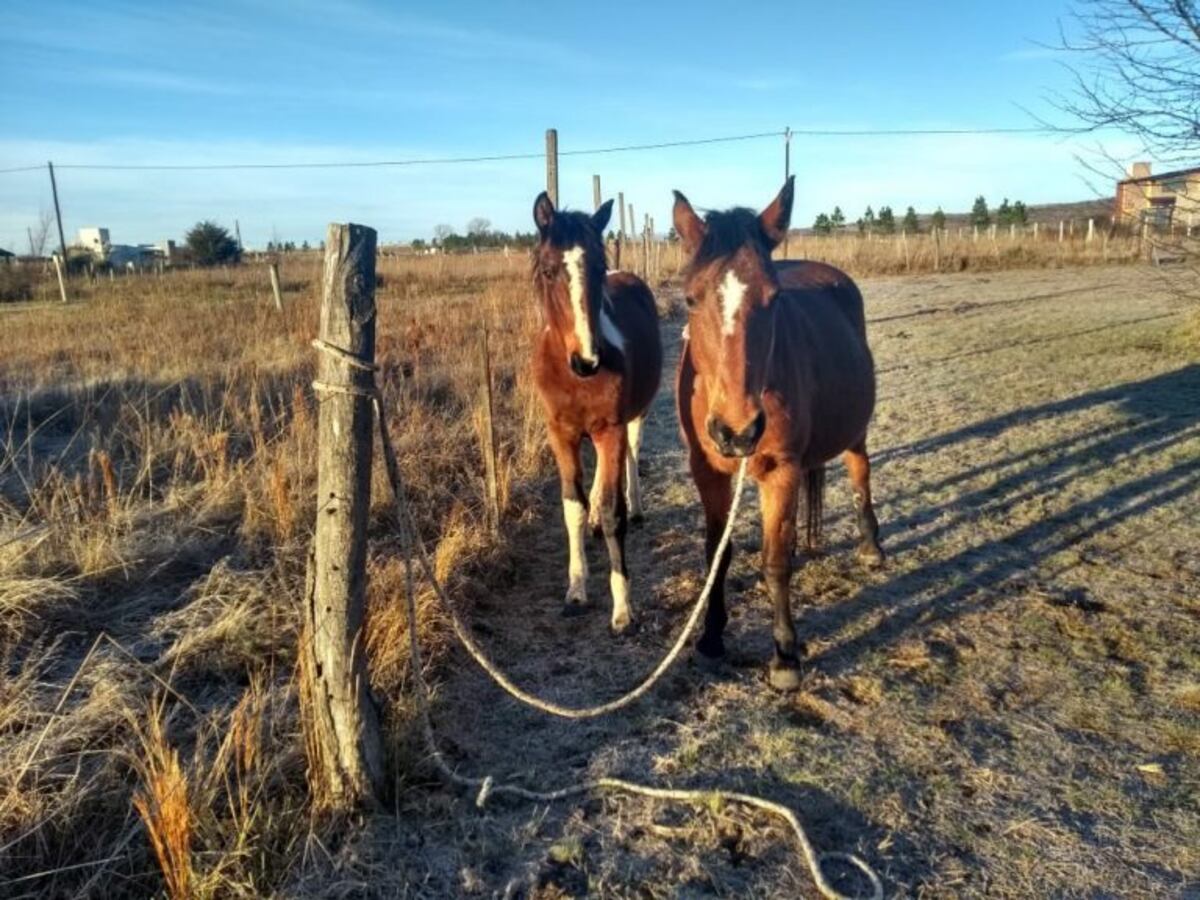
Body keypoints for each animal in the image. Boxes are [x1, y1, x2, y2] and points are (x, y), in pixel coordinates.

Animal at [531, 192, 663, 634]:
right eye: (549, 269)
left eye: (598, 269)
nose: (588, 361)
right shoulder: (562, 433)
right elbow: (573, 506)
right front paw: (576, 590)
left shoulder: (610, 430)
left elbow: (610, 511)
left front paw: (622, 608)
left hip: (634, 417)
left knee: (632, 457)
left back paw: (636, 505)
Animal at [672, 176, 884, 690]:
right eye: (690, 299)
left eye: (773, 299)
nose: (736, 431)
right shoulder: (707, 472)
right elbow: (717, 554)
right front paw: (711, 638)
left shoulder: (781, 470)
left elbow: (774, 564)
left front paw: (785, 655)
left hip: (854, 432)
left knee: (860, 472)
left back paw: (871, 546)